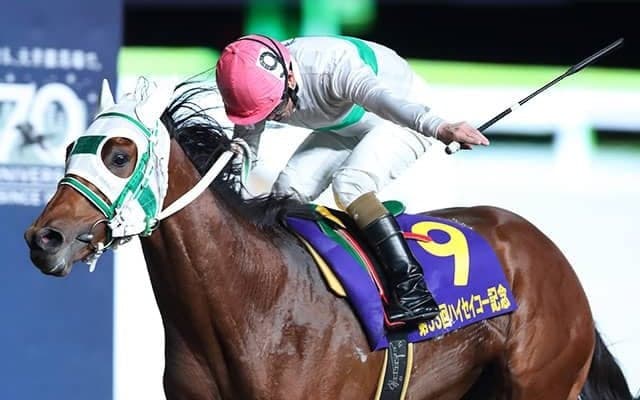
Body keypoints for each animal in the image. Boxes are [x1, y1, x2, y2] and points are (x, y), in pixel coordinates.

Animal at [24, 78, 638, 400]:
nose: (44, 237)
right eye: (69, 147)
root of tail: (547, 251)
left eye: (119, 155)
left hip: (540, 382)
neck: (250, 302)